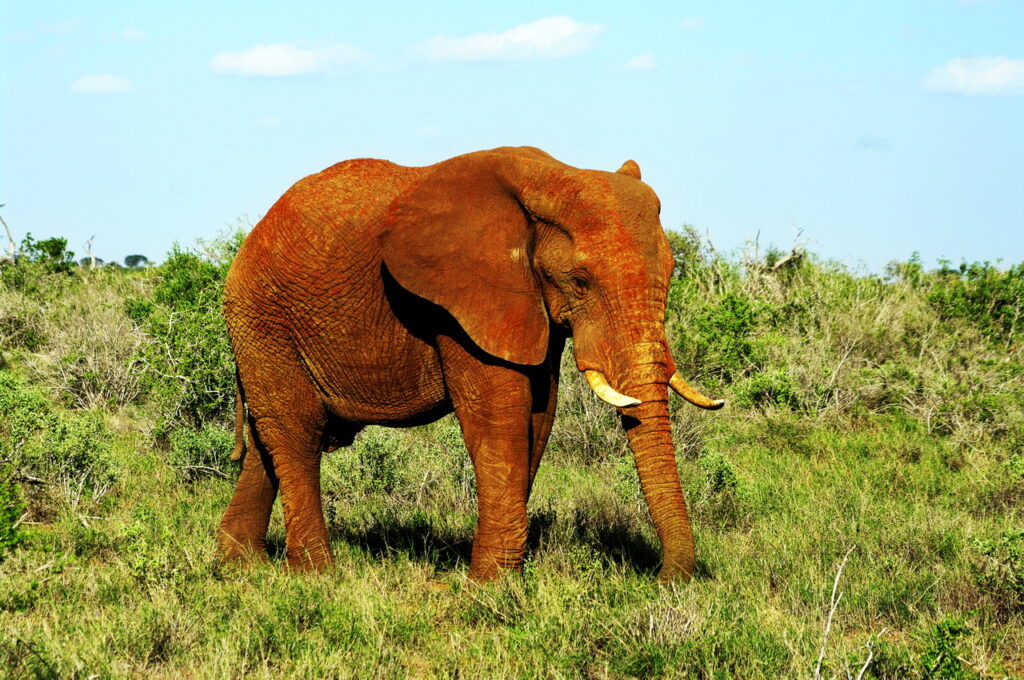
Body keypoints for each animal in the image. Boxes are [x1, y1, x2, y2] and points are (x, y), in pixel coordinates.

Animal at [217, 146, 723, 582]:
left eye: (672, 272)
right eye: (580, 281)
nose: (661, 578)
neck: (550, 178)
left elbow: (539, 415)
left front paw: (498, 576)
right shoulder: (460, 300)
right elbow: (497, 418)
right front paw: (488, 585)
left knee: (267, 441)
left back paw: (242, 567)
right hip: (263, 318)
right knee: (296, 432)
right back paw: (316, 575)